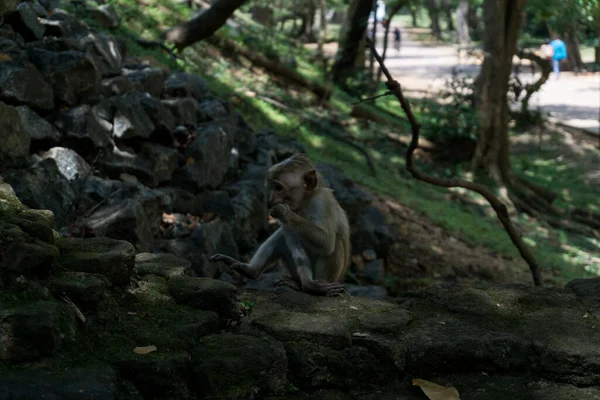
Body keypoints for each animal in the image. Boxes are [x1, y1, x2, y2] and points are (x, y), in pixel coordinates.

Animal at [210, 152, 352, 296]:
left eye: (278, 188)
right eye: (273, 187)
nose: (271, 199)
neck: (305, 202)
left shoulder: (322, 202)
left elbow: (326, 243)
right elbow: (293, 239)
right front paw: (308, 284)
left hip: (329, 279)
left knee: (336, 242)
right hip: (294, 271)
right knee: (282, 237)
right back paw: (254, 272)